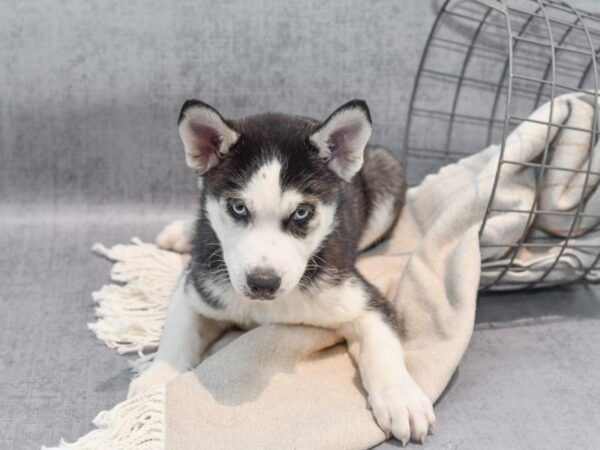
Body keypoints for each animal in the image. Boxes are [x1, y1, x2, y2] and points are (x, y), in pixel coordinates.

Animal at [129, 99, 434, 442]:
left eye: (301, 213)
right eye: (238, 208)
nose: (263, 282)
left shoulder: (363, 299)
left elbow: (382, 347)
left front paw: (401, 398)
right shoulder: (197, 285)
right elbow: (178, 333)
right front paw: (157, 375)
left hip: (388, 174)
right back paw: (185, 231)